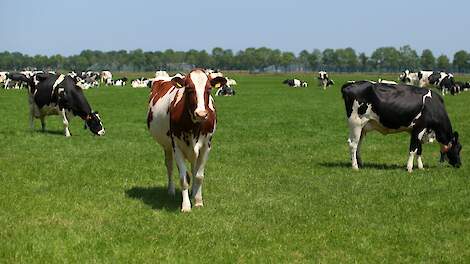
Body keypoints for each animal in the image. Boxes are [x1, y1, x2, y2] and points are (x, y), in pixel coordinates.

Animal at [148, 68, 227, 212]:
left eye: (209, 88)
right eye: (189, 88)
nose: (201, 114)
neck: (194, 126)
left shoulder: (206, 146)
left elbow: (199, 175)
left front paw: (198, 201)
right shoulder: (177, 146)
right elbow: (184, 178)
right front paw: (186, 206)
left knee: (193, 168)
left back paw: (193, 193)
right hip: (167, 146)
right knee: (169, 166)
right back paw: (171, 191)